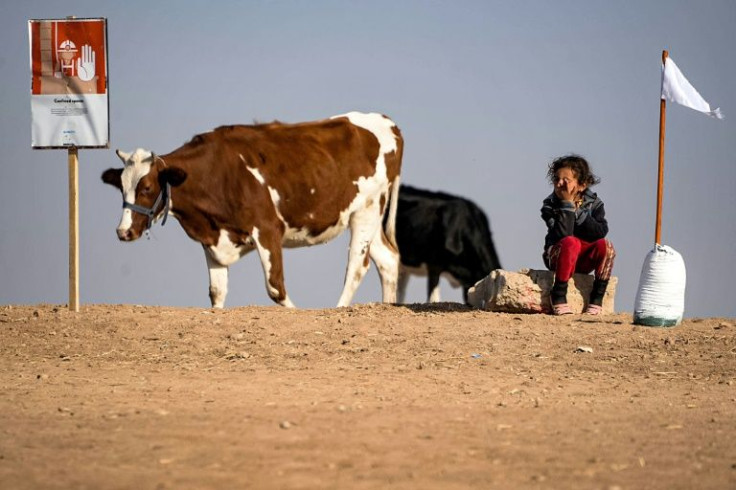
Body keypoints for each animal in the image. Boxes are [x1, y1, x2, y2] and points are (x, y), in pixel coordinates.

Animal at [100, 113, 402, 308]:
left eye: (147, 187)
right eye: (121, 187)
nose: (123, 231)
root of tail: (386, 122)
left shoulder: (268, 229)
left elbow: (276, 287)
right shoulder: (213, 238)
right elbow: (216, 291)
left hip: (366, 210)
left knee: (357, 266)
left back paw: (339, 309)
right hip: (368, 216)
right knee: (387, 259)